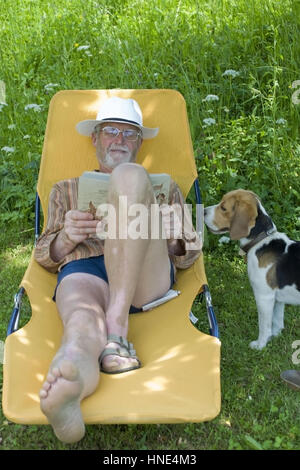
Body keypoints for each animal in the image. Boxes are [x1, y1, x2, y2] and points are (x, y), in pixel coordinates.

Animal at [204, 190, 300, 348]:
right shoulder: (277, 299)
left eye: (223, 208)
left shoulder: (263, 297)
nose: (204, 210)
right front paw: (274, 337)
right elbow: (277, 322)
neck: (260, 240)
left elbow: (264, 325)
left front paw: (260, 345)